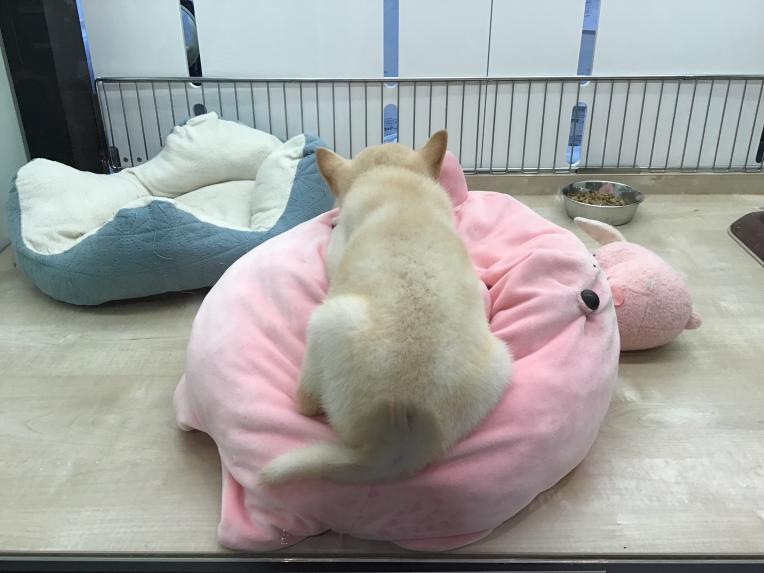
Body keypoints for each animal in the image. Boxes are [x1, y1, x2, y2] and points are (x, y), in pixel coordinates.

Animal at [259, 131, 512, 485]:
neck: (395, 178)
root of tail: (400, 430)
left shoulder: (334, 253)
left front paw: (333, 221)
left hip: (326, 320)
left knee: (305, 403)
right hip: (501, 362)